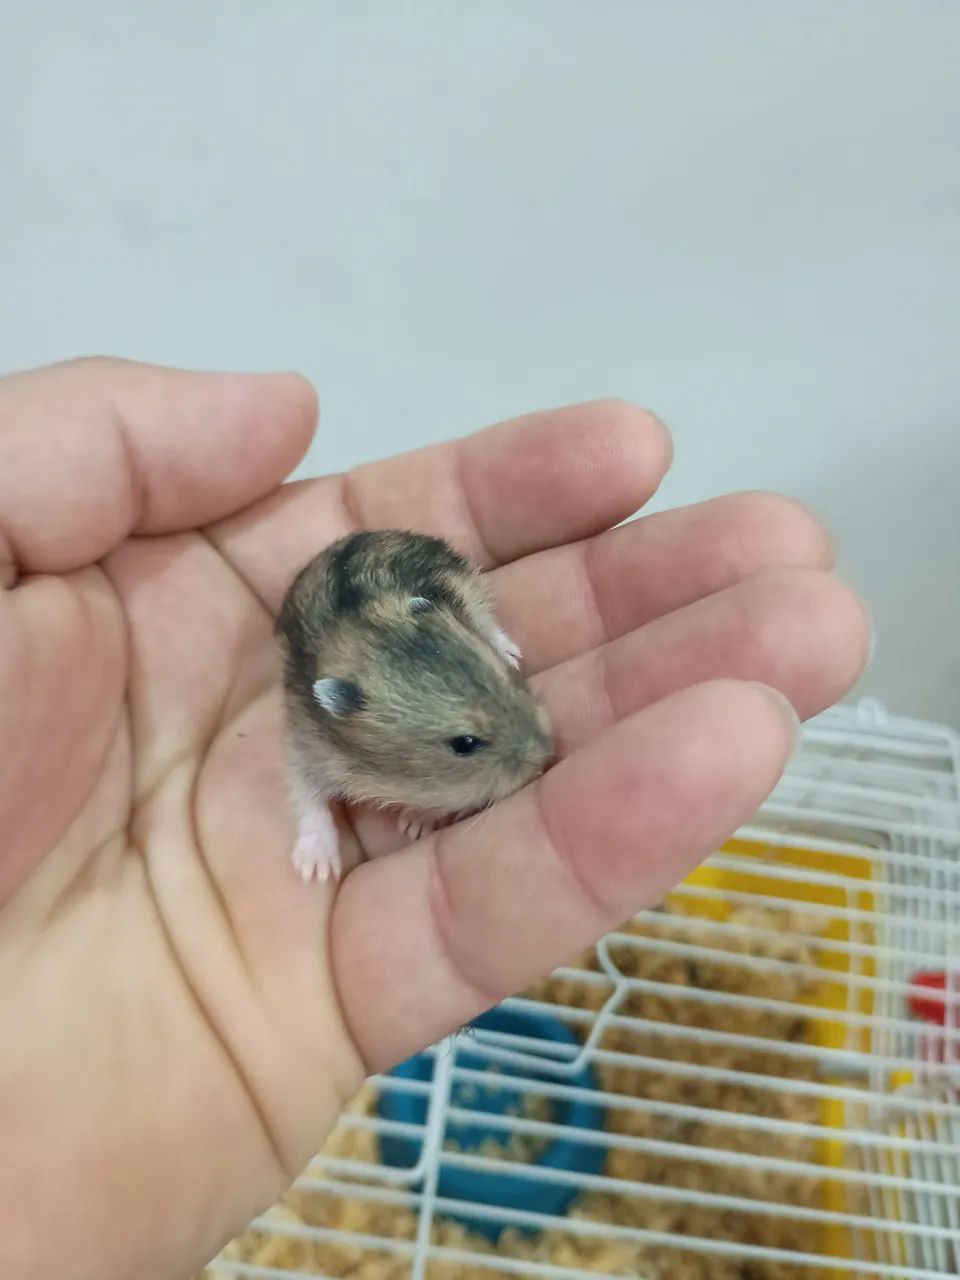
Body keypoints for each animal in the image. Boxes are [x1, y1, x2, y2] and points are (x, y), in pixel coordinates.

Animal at [276, 529, 553, 882]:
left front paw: (413, 824)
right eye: (465, 744)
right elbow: (308, 797)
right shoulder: (307, 745)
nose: (547, 753)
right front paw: (316, 871)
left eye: (506, 678)